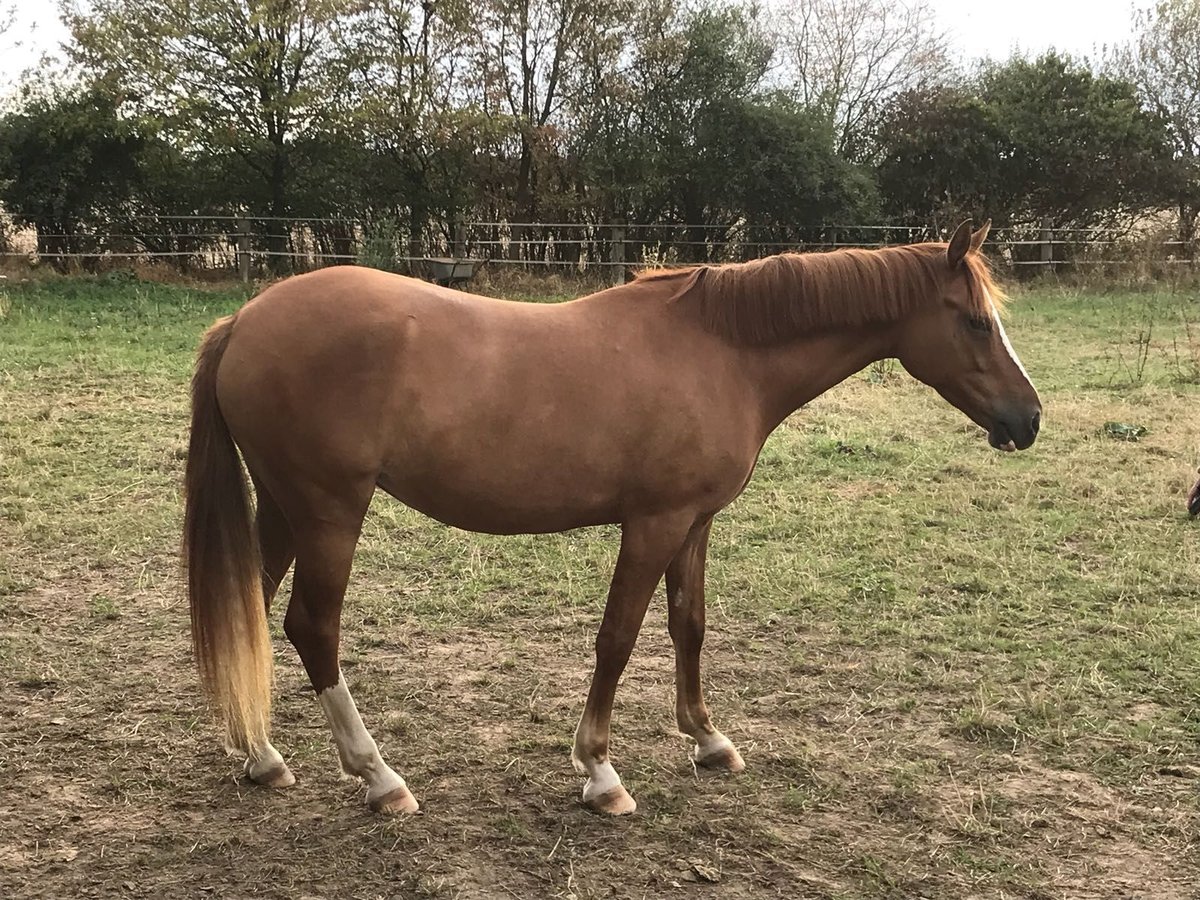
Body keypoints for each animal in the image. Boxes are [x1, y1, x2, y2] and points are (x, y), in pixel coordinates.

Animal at [184, 220, 1041, 816]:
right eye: (974, 320)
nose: (1028, 419)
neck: (722, 351)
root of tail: (244, 321)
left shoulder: (694, 523)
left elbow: (689, 626)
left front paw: (709, 740)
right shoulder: (653, 523)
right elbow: (618, 638)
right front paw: (599, 771)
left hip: (287, 509)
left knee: (253, 608)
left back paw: (262, 756)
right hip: (330, 512)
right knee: (312, 628)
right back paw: (379, 777)